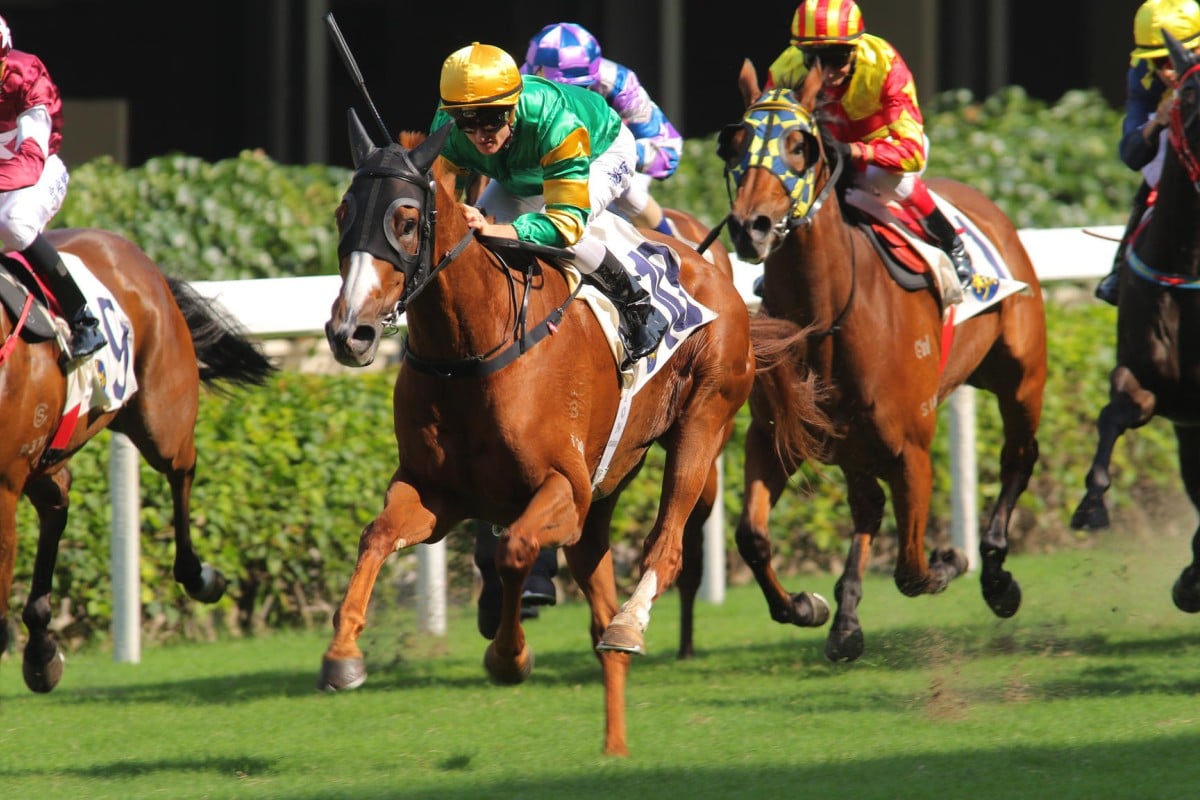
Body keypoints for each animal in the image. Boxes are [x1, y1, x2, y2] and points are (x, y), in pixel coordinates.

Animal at [0, 227, 274, 690]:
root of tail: (133, 251)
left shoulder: (4, 484)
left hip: (160, 420)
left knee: (183, 468)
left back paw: (200, 577)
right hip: (49, 451)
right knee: (58, 501)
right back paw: (40, 649)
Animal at [319, 120, 820, 758]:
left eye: (406, 220)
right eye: (344, 212)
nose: (349, 332)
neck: (470, 350)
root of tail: (715, 271)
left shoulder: (562, 490)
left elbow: (513, 550)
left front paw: (509, 657)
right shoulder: (436, 494)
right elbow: (377, 535)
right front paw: (343, 656)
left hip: (703, 422)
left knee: (667, 546)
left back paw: (641, 623)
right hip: (606, 490)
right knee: (600, 607)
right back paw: (615, 741)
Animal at [710, 61, 1051, 662]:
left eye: (799, 145)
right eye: (736, 140)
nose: (750, 226)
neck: (828, 310)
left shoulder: (911, 448)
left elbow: (912, 570)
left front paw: (951, 559)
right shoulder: (777, 433)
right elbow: (751, 536)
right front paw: (807, 605)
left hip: (1020, 379)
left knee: (1018, 456)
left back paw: (994, 574)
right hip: (852, 441)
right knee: (866, 505)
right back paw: (846, 618)